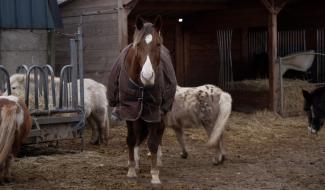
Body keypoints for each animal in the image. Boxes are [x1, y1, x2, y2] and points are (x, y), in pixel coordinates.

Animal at [107, 15, 176, 185]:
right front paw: (131, 169)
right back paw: (136, 162)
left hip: (160, 114)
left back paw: (158, 159)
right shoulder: (129, 111)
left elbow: (152, 142)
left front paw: (155, 174)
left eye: (158, 44)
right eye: (138, 45)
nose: (147, 76)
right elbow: (131, 139)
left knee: (159, 135)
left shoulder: (153, 112)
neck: (141, 86)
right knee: (138, 136)